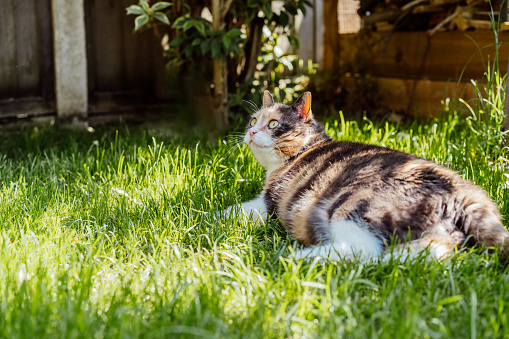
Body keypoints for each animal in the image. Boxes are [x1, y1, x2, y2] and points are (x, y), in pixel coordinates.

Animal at [224, 91, 508, 262]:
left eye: (273, 124)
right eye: (253, 120)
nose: (251, 132)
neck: (307, 146)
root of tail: (466, 195)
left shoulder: (268, 201)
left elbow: (233, 211)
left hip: (355, 205)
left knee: (363, 251)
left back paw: (295, 258)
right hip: (438, 240)